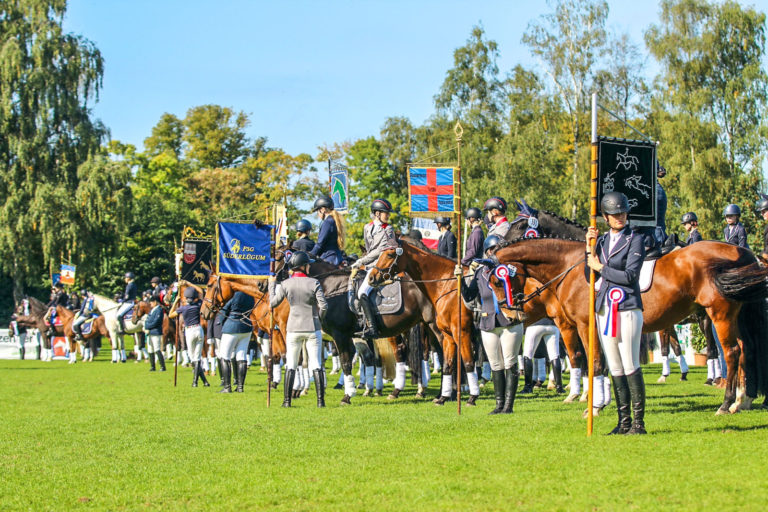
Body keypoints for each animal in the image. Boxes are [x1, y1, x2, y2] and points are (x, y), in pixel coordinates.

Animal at [492, 238, 768, 414]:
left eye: (496, 281)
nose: (508, 315)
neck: (571, 268)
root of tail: (741, 251)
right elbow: (604, 364)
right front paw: (601, 401)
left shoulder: (582, 326)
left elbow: (591, 362)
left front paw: (593, 405)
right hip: (736, 315)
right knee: (747, 350)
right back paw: (743, 400)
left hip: (719, 314)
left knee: (731, 352)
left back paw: (726, 404)